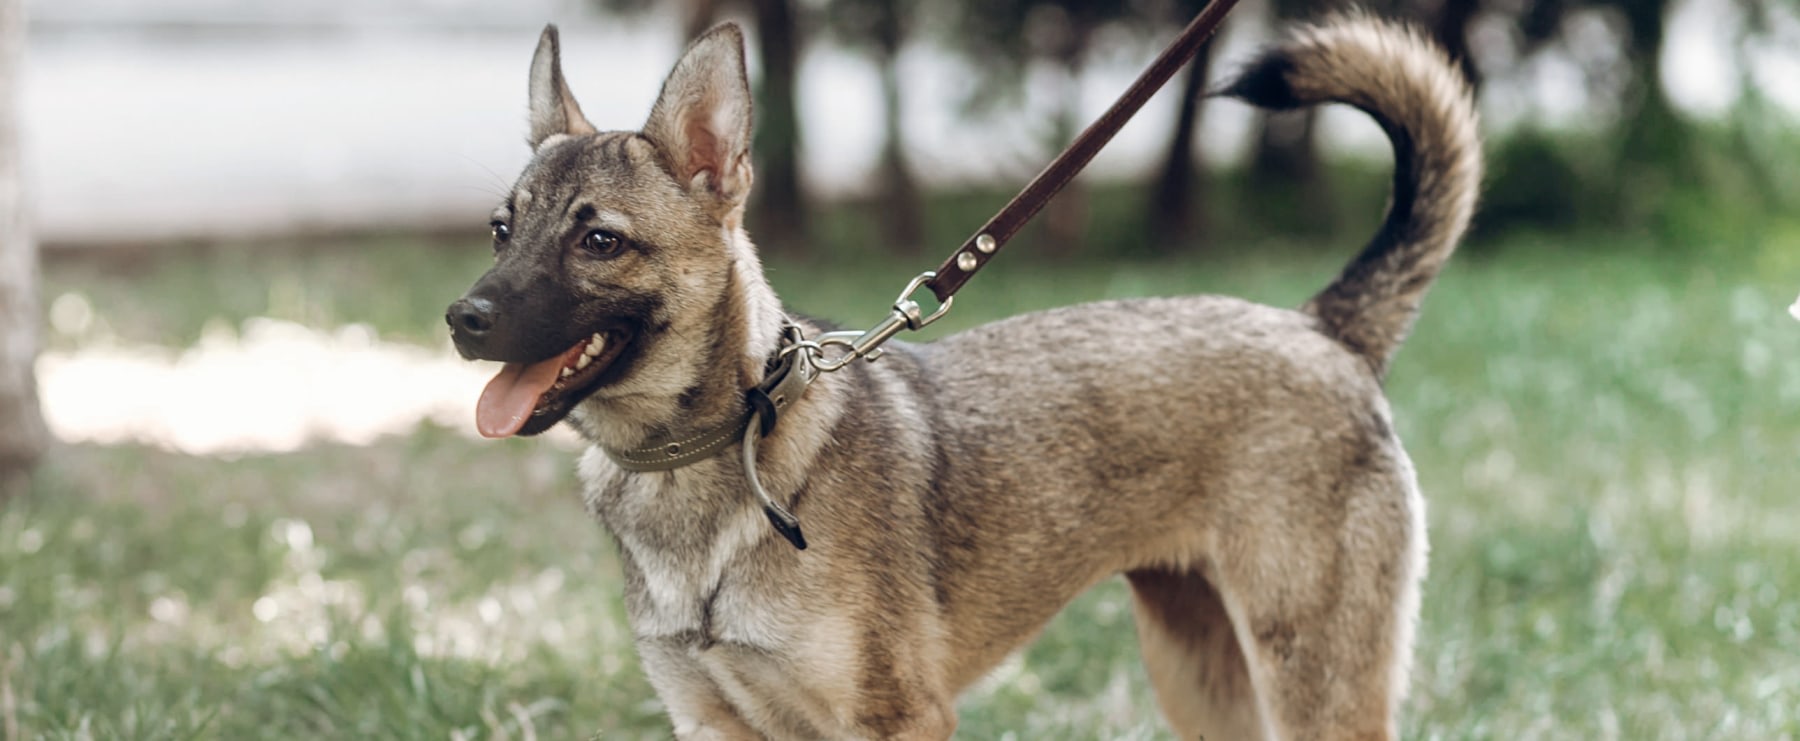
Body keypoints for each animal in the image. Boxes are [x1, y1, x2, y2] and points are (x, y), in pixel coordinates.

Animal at [446, 11, 1476, 741]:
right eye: (502, 230)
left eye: (600, 241)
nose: (462, 320)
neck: (726, 448)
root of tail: (1322, 327)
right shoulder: (712, 722)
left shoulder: (898, 720)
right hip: (1206, 681)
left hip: (1313, 686)